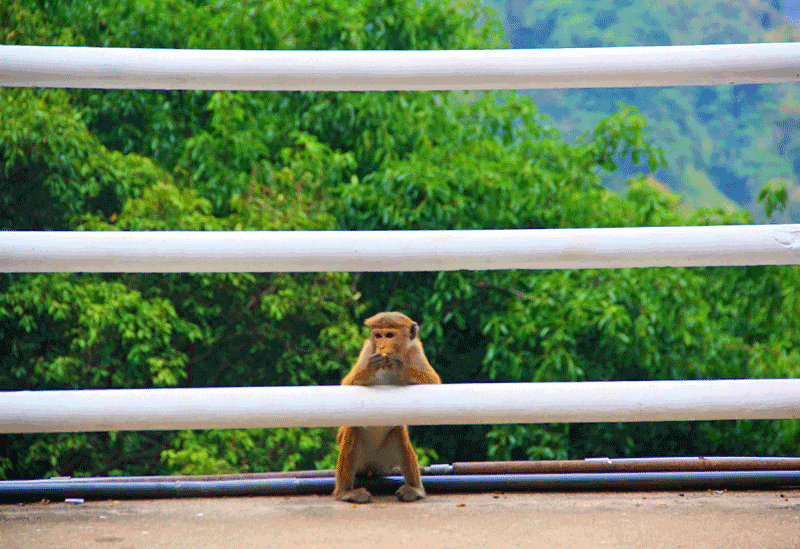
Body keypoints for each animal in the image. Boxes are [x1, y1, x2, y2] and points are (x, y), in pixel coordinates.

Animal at [332, 310, 444, 504]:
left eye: (390, 335)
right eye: (378, 335)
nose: (382, 347)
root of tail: (371, 466)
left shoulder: (415, 349)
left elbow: (434, 385)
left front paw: (401, 367)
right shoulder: (369, 349)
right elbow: (346, 388)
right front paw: (369, 368)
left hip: (385, 461)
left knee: (398, 431)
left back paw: (414, 489)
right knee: (353, 428)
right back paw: (345, 492)